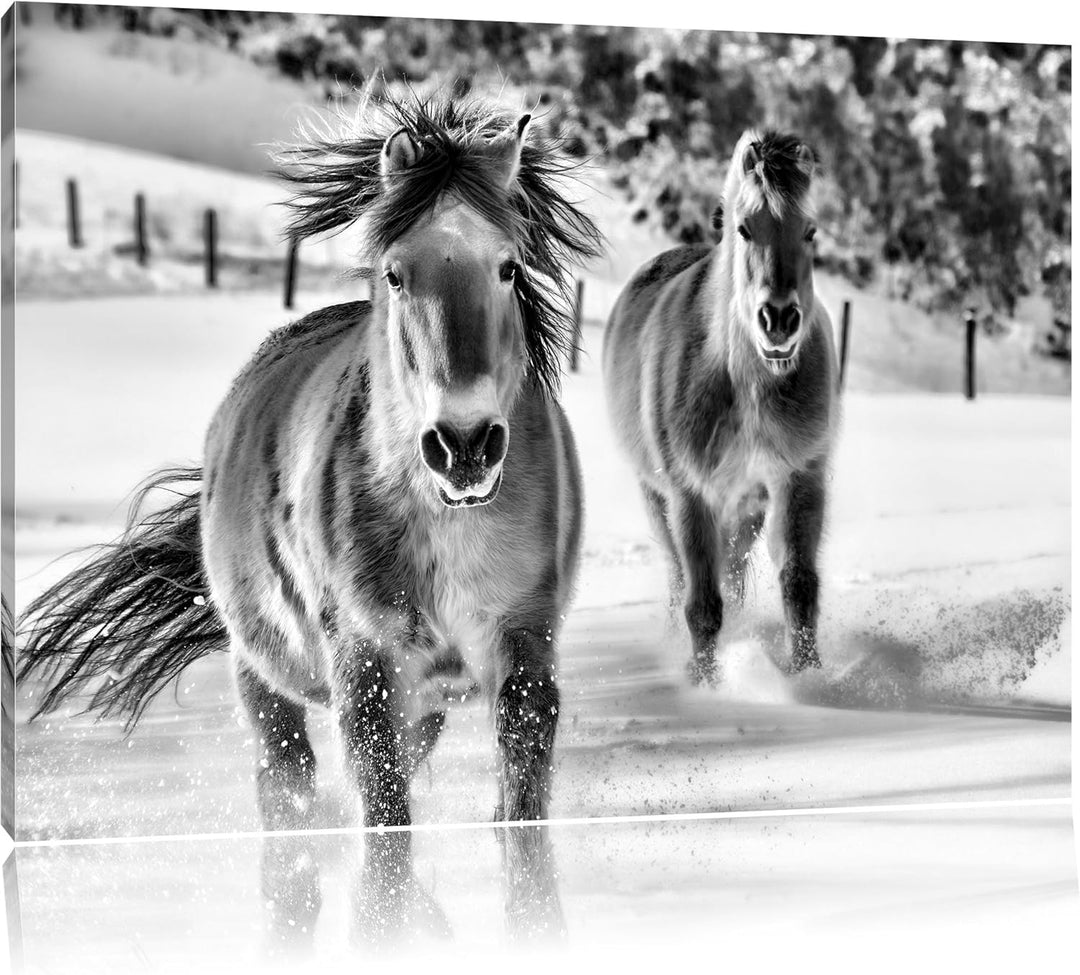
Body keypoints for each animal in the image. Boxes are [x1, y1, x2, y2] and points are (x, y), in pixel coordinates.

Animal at [17, 90, 601, 834]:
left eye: (508, 268)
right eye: (395, 274)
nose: (464, 445)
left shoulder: (522, 649)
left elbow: (520, 814)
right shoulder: (367, 670)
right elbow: (384, 823)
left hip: (426, 700)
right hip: (264, 674)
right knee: (285, 780)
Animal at [602, 129, 837, 683]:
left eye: (810, 230)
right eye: (745, 228)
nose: (780, 320)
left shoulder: (798, 478)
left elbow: (799, 583)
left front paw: (811, 677)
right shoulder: (691, 495)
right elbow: (702, 603)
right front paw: (705, 685)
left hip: (746, 506)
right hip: (656, 496)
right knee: (677, 577)